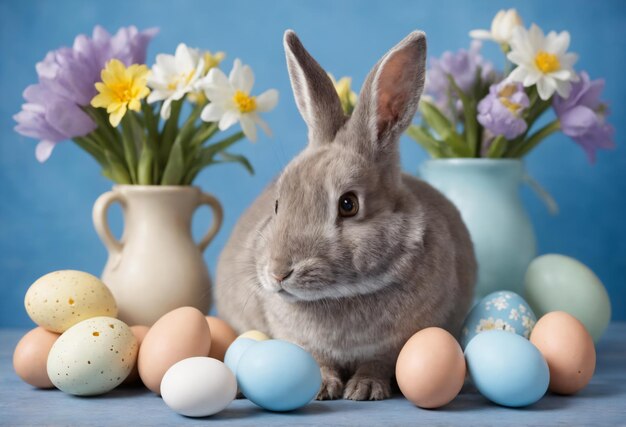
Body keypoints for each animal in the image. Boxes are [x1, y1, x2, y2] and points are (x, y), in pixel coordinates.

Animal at [214, 30, 472, 402]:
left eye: (348, 204)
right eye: (277, 204)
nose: (278, 273)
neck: (341, 295)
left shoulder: (396, 344)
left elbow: (378, 363)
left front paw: (364, 389)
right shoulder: (296, 339)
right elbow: (316, 359)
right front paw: (321, 387)